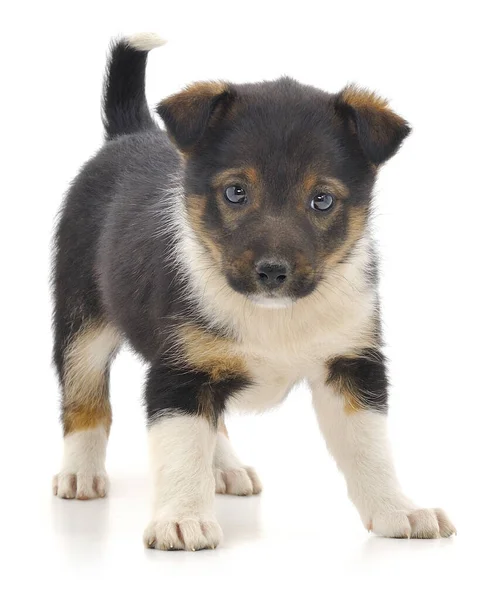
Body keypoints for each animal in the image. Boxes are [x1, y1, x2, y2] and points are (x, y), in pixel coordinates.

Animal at [53, 32, 456, 548]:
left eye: (321, 200)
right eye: (236, 193)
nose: (272, 273)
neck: (274, 313)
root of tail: (130, 134)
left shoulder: (351, 362)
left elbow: (371, 450)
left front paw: (398, 511)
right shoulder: (178, 373)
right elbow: (181, 450)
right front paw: (182, 519)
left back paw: (226, 468)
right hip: (81, 322)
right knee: (85, 399)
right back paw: (80, 475)